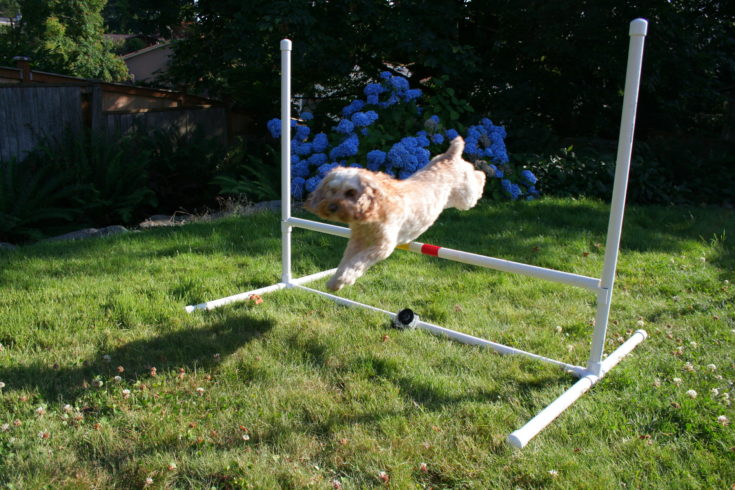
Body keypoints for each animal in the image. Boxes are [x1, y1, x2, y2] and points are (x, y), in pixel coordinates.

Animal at [306, 137, 488, 290]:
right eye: (332, 190)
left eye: (351, 192)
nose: (331, 207)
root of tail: (451, 154)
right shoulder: (356, 242)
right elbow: (345, 262)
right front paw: (334, 281)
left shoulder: (382, 246)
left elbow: (356, 263)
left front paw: (343, 280)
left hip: (466, 197)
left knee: (478, 176)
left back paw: (484, 168)